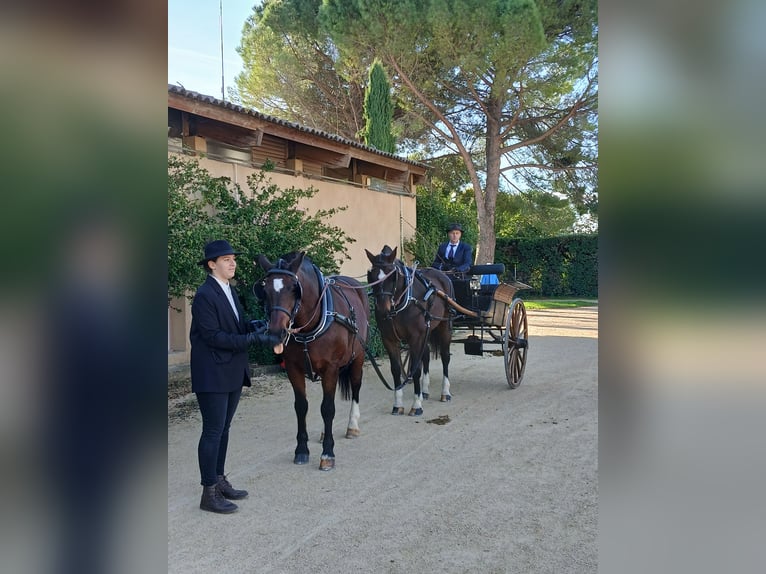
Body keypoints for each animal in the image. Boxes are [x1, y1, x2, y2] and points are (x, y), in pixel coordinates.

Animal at [256, 252, 370, 472]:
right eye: (264, 289)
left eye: (294, 288)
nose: (275, 334)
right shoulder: (293, 369)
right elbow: (302, 407)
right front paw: (301, 450)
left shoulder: (331, 368)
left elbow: (328, 408)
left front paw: (327, 453)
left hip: (358, 357)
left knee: (356, 386)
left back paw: (352, 426)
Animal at [368, 245, 456, 416]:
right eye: (372, 276)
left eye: (392, 276)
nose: (382, 310)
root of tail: (443, 276)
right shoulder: (389, 339)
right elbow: (396, 370)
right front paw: (398, 405)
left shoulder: (415, 337)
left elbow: (415, 370)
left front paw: (416, 405)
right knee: (426, 357)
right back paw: (424, 391)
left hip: (444, 327)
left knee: (445, 357)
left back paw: (445, 392)